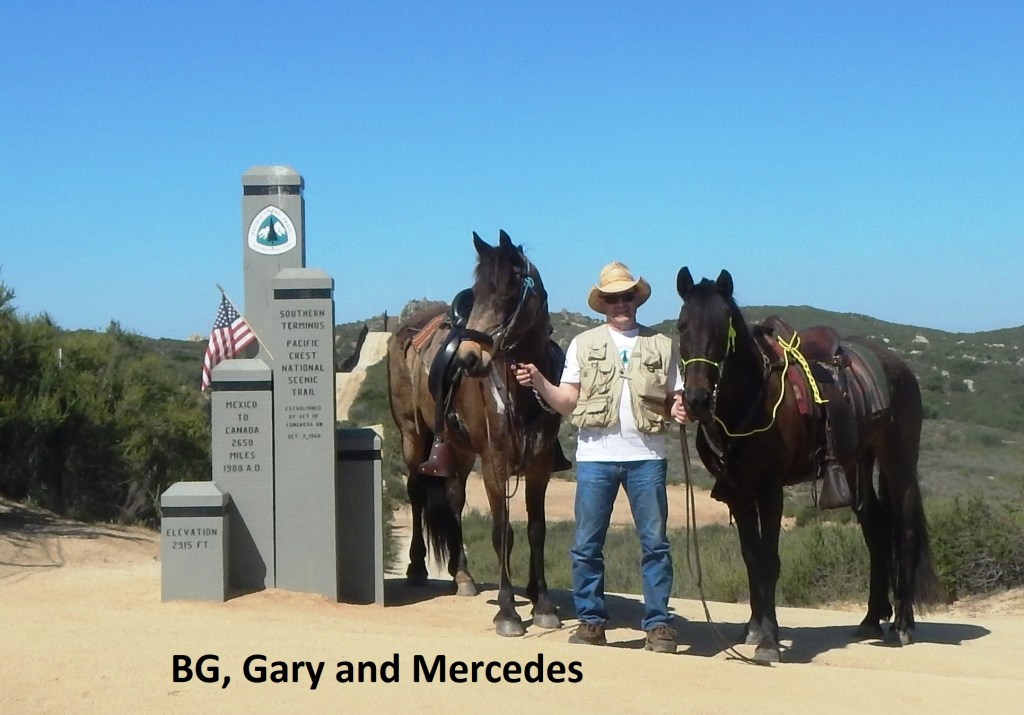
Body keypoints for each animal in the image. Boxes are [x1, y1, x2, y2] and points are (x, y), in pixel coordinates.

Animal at [386, 230, 564, 636]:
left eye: (509, 292)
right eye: (479, 292)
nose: (469, 358)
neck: (522, 392)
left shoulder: (540, 465)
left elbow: (536, 530)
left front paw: (543, 602)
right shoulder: (495, 463)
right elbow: (502, 533)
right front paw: (508, 611)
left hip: (461, 450)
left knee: (454, 499)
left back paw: (462, 573)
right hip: (413, 437)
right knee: (417, 492)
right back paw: (418, 567)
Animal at [675, 267, 944, 662]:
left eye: (724, 328)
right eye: (682, 326)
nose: (695, 400)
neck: (750, 400)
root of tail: (899, 366)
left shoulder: (769, 489)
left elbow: (769, 560)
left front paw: (770, 640)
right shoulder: (739, 492)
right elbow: (751, 558)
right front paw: (754, 628)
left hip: (899, 464)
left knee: (904, 530)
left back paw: (904, 625)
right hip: (855, 466)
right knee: (876, 531)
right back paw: (870, 620)